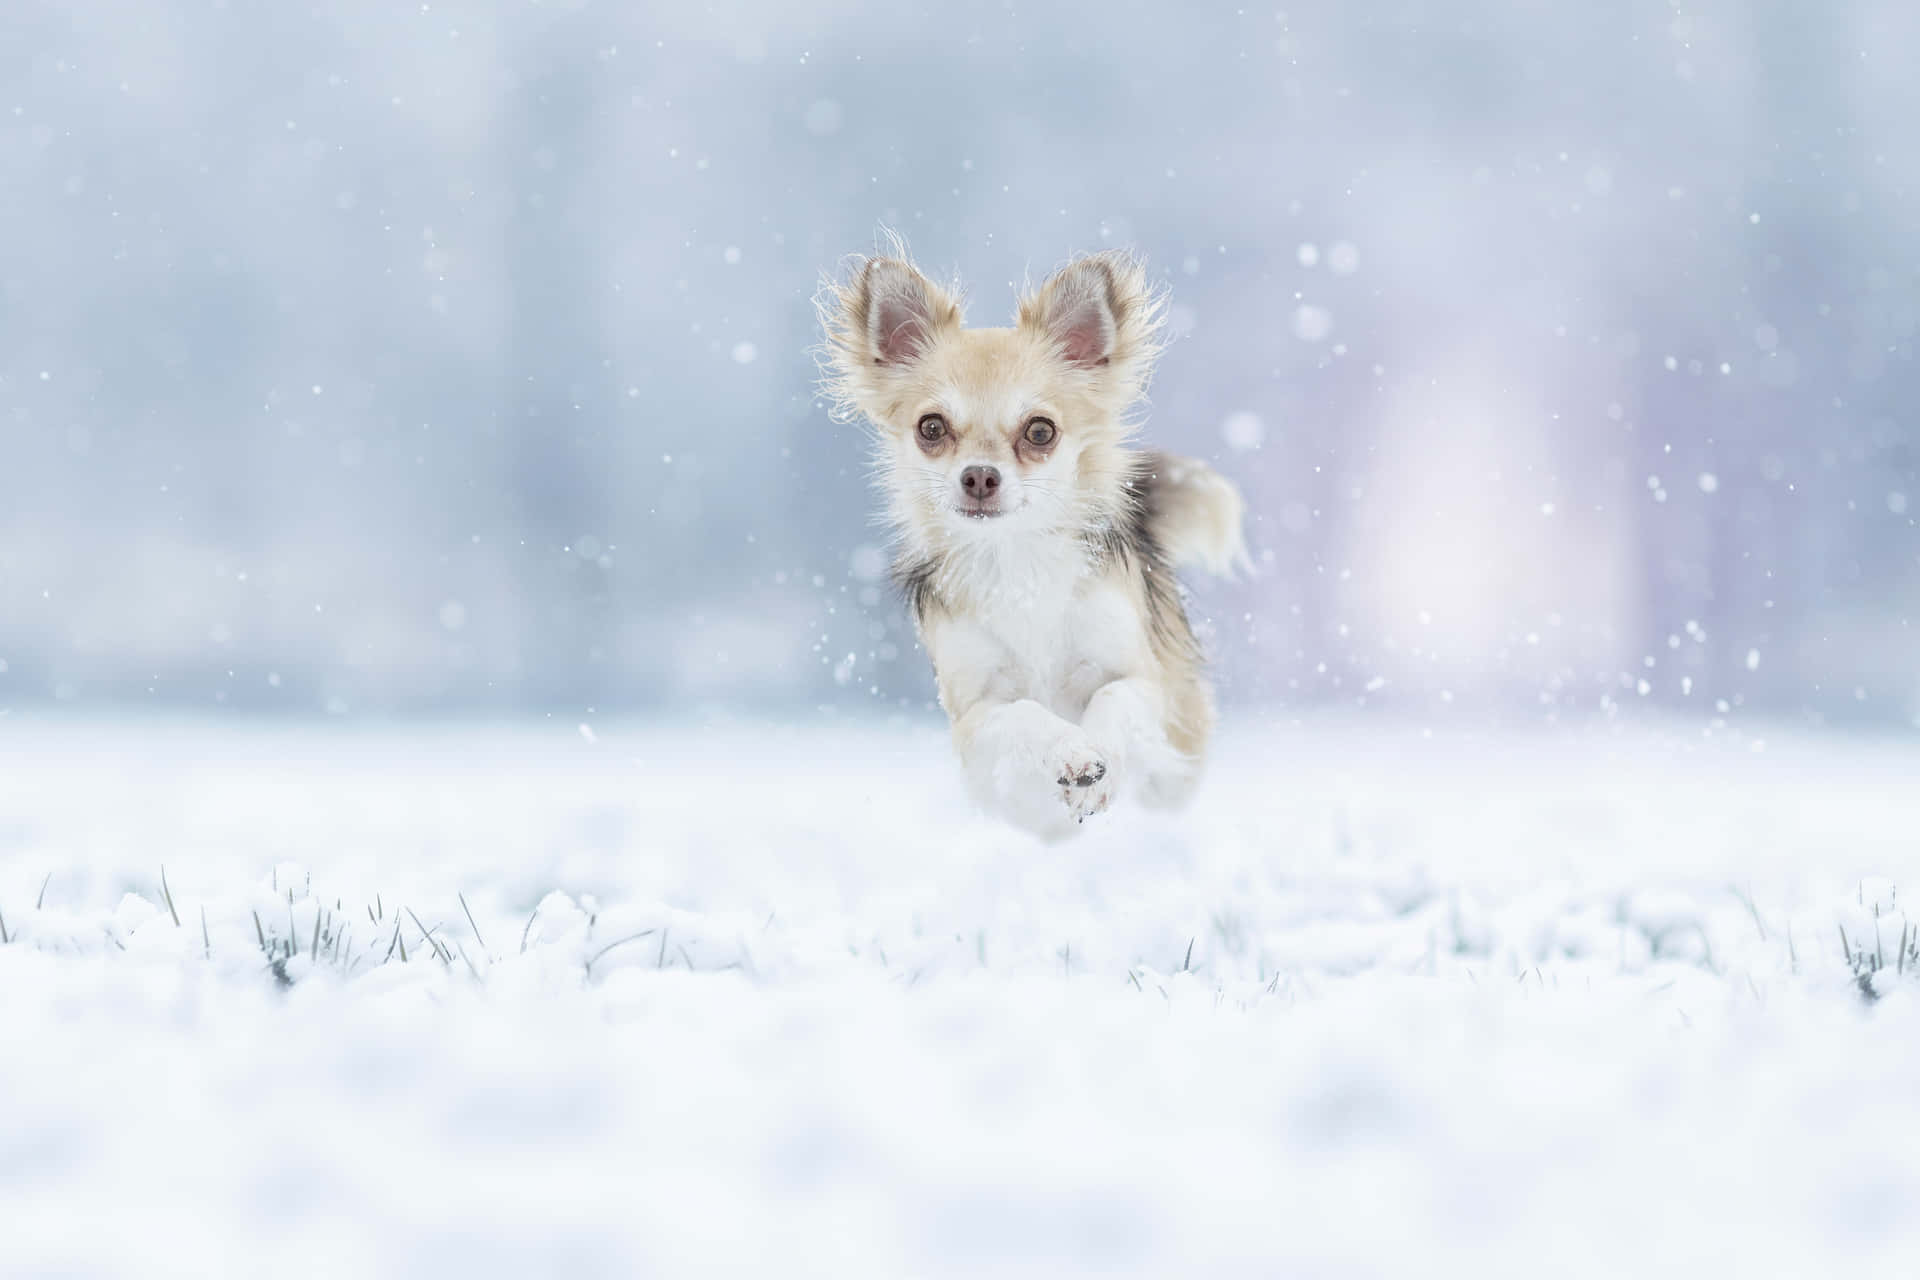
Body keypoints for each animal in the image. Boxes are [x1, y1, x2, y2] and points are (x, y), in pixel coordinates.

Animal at [814, 242, 1244, 840]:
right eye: (931, 428)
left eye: (1040, 432)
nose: (978, 475)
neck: (1014, 555)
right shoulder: (975, 717)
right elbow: (1023, 715)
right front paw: (1072, 753)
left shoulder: (1142, 680)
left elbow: (1112, 697)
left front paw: (1098, 764)